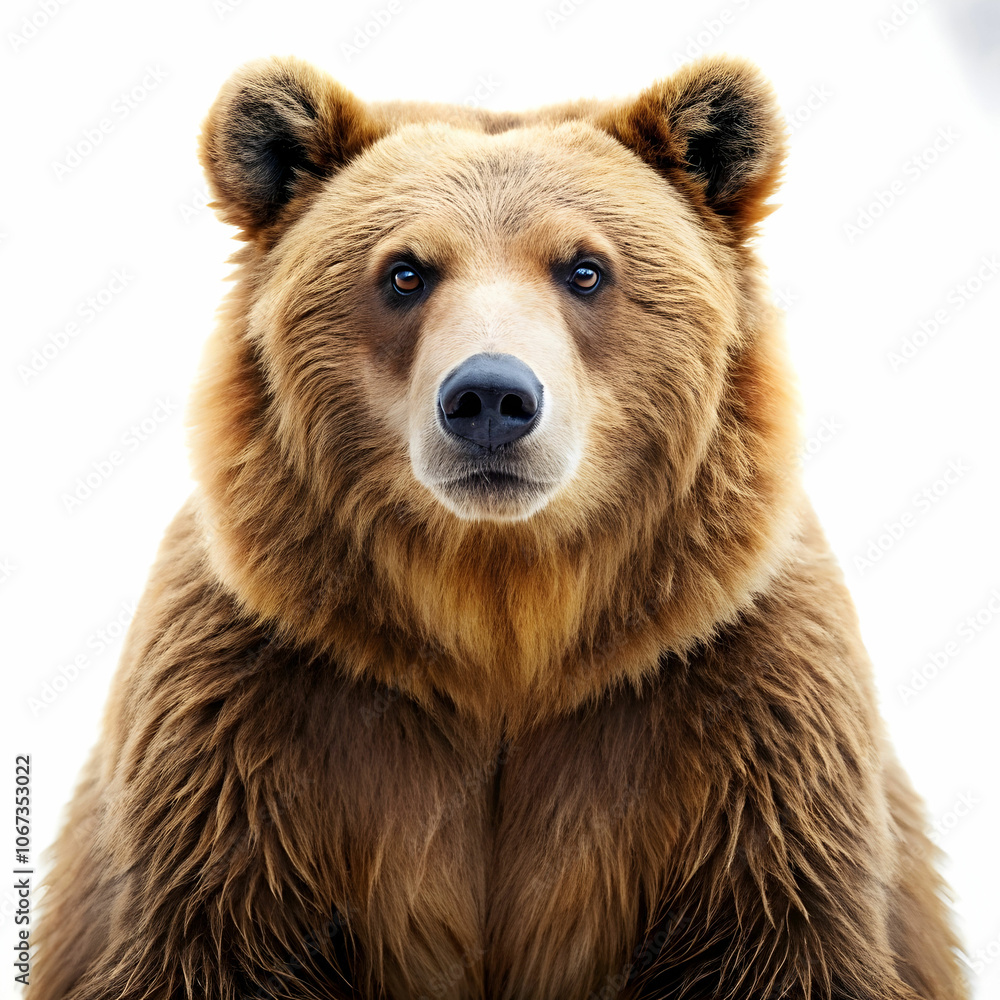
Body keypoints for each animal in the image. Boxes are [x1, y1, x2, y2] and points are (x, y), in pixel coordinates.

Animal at [30, 54, 967, 1000]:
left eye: (585, 268)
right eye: (405, 272)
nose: (490, 397)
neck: (503, 623)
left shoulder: (739, 717)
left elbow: (781, 935)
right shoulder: (251, 722)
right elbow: (205, 937)